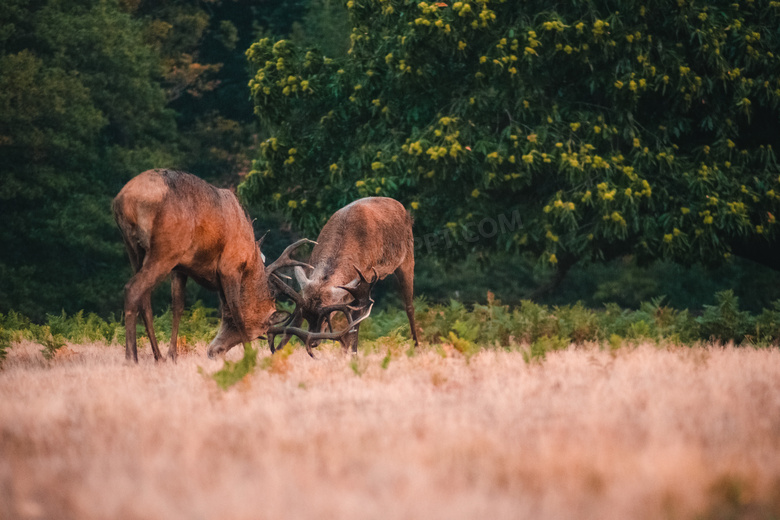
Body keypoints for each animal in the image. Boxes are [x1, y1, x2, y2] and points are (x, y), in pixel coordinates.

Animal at [113, 170, 314, 362]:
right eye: (261, 332)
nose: (215, 351)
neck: (250, 258)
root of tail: (123, 201)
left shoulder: (180, 268)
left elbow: (178, 307)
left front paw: (172, 355)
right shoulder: (229, 267)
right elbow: (237, 310)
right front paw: (250, 354)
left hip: (134, 248)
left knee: (145, 299)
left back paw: (158, 356)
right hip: (165, 250)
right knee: (132, 289)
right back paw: (131, 357)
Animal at [272, 197, 424, 356]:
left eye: (326, 319)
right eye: (306, 316)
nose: (313, 343)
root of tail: (403, 208)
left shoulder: (365, 280)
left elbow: (356, 321)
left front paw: (353, 355)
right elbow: (296, 321)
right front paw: (277, 351)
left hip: (407, 258)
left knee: (409, 306)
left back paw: (416, 347)